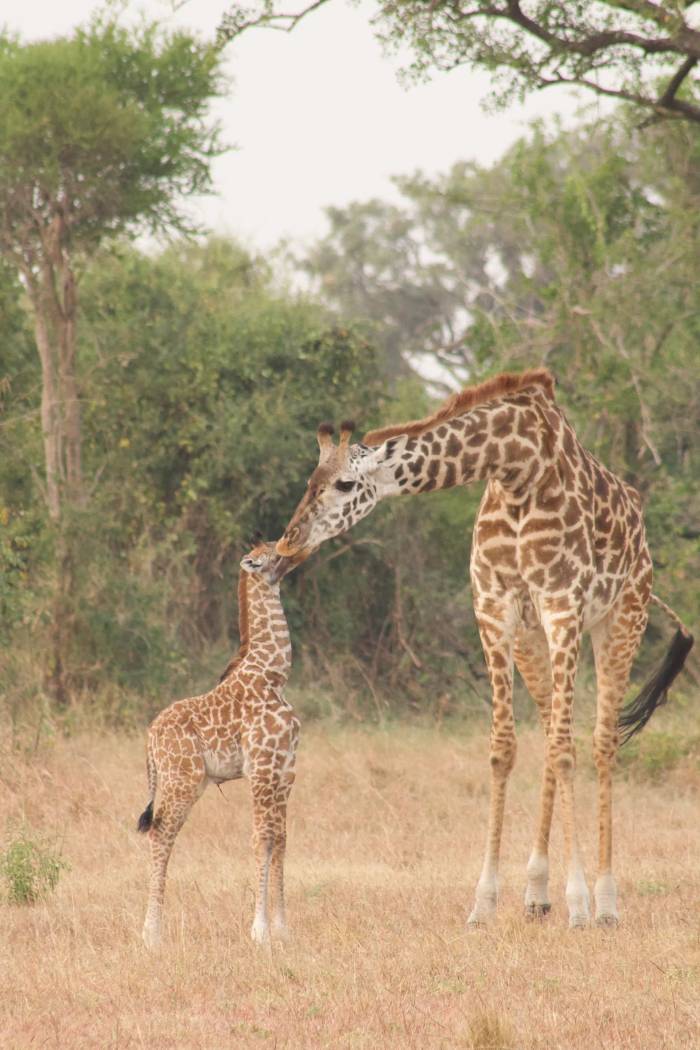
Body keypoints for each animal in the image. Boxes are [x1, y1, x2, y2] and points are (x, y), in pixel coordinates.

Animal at [136, 541, 306, 949]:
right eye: (274, 551)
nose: (296, 552)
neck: (273, 674)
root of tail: (150, 738)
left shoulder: (286, 770)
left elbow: (281, 840)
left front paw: (283, 929)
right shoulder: (262, 768)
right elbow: (262, 839)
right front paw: (259, 931)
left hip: (187, 782)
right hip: (181, 781)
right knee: (161, 834)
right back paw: (152, 934)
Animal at [275, 368, 693, 929]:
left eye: (344, 483)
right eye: (309, 481)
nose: (287, 543)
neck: (516, 465)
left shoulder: (562, 604)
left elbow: (568, 752)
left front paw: (579, 903)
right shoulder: (494, 608)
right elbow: (504, 749)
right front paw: (485, 902)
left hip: (621, 618)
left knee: (601, 741)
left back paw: (606, 902)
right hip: (532, 640)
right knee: (551, 731)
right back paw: (536, 894)